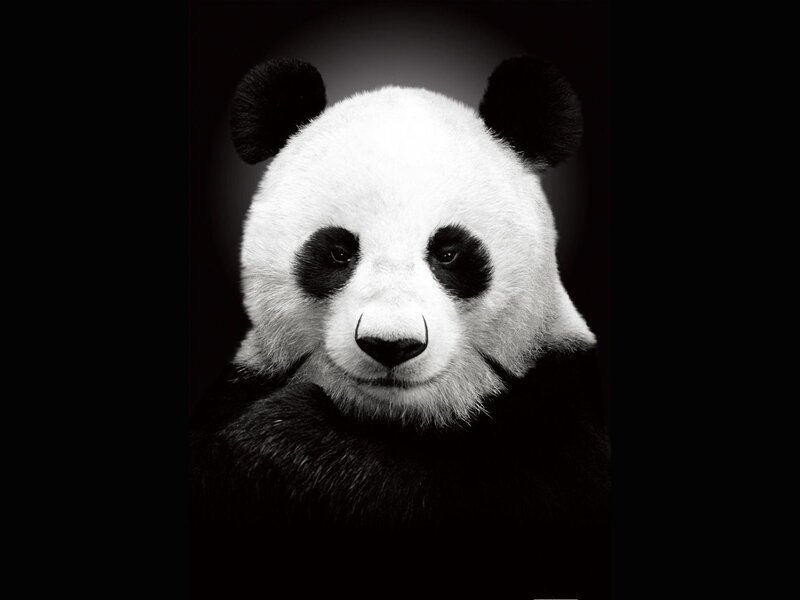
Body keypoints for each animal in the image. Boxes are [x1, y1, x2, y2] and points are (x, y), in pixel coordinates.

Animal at [190, 57, 610, 600]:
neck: (395, 420)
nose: (391, 345)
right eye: (338, 252)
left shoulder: (564, 404)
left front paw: (282, 442)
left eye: (449, 253)